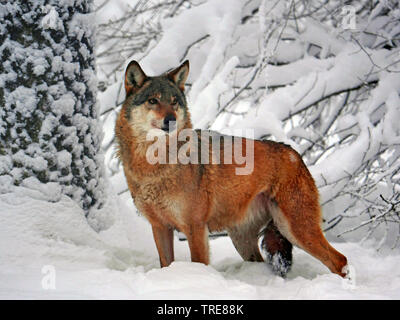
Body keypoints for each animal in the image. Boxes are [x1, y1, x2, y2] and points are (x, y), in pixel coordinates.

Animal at [114, 59, 348, 278]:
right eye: (153, 101)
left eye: (174, 102)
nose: (171, 120)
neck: (155, 166)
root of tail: (295, 154)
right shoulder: (160, 227)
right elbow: (165, 264)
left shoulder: (195, 228)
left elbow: (199, 263)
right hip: (246, 240)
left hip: (296, 229)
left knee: (340, 260)